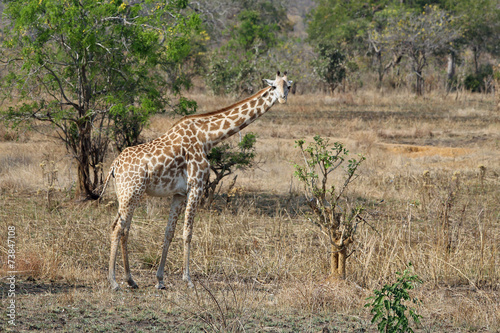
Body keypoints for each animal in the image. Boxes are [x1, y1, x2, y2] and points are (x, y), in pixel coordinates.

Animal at [101, 71, 292, 290]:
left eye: (288, 86)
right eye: (274, 87)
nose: (283, 99)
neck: (207, 137)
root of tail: (114, 165)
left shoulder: (179, 193)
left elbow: (169, 232)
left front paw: (160, 280)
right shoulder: (196, 186)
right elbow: (188, 232)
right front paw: (188, 279)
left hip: (126, 193)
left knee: (123, 228)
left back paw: (130, 280)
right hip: (131, 191)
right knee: (118, 229)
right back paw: (114, 281)